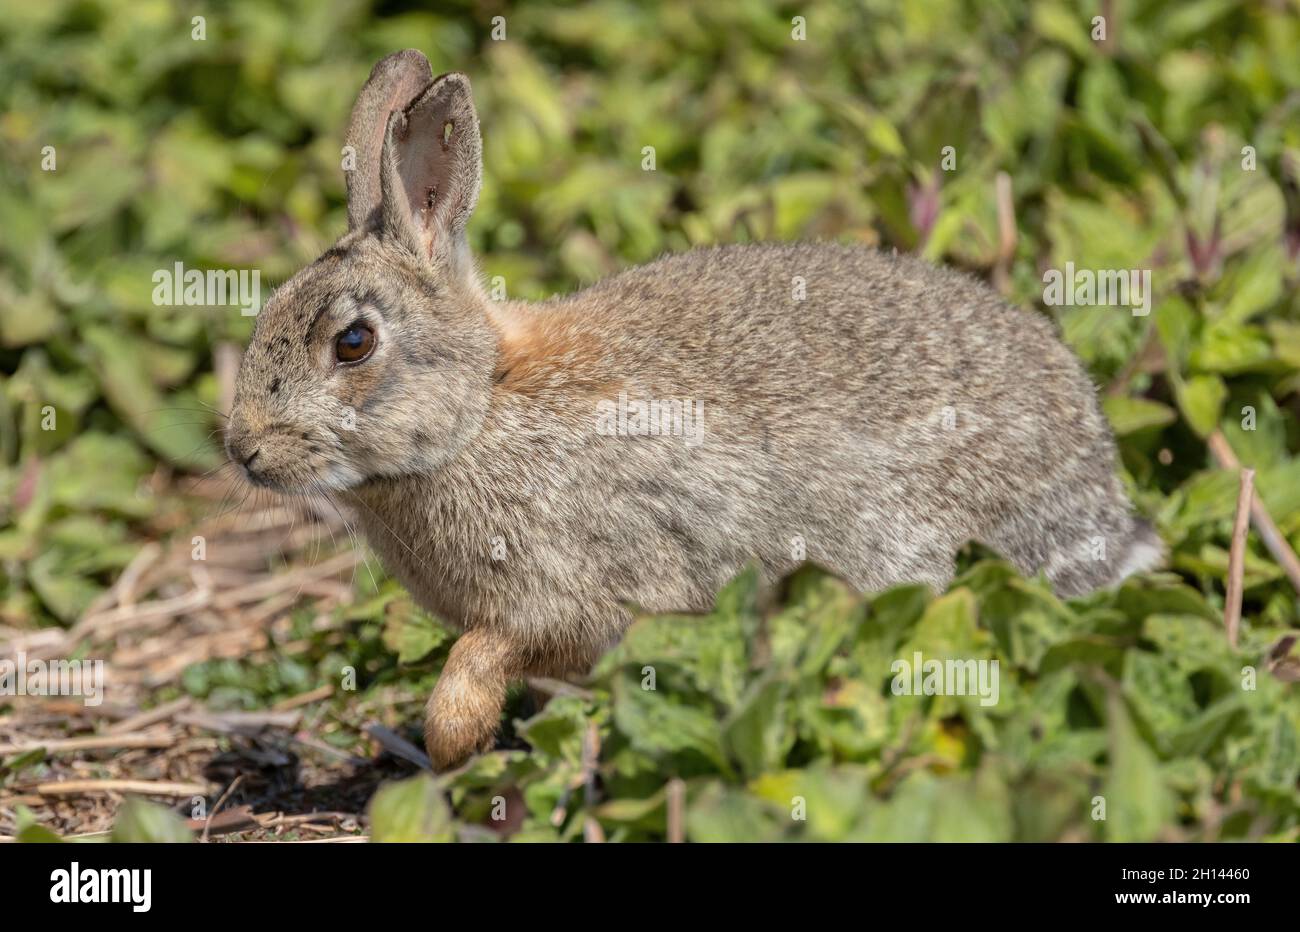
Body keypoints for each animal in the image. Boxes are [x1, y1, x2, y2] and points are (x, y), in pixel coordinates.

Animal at [220, 47, 1159, 769]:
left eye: (352, 344)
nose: (245, 453)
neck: (481, 409)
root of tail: (1104, 498)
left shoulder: (573, 593)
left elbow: (482, 660)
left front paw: (453, 745)